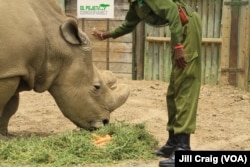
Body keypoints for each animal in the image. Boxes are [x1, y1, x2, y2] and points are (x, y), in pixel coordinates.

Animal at [0, 0, 129, 136]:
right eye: (96, 87)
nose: (105, 123)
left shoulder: (15, 69)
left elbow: (11, 105)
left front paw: (4, 135)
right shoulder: (9, 71)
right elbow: (3, 102)